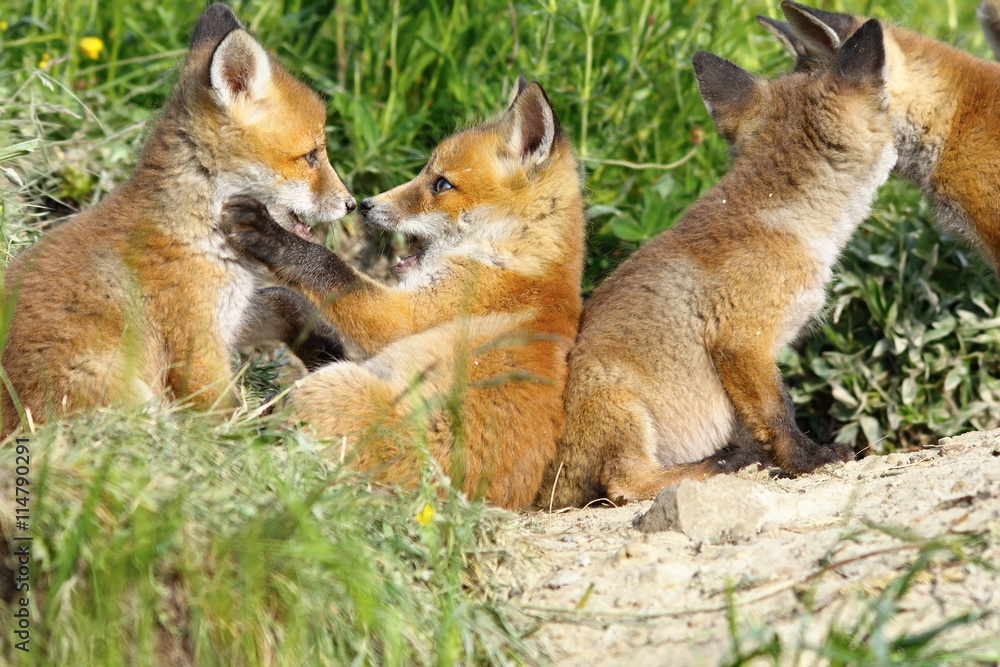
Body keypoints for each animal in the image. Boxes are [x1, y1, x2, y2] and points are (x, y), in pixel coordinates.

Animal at [0, 4, 355, 437]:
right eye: (310, 156)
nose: (352, 204)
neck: (194, 232)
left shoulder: (229, 316)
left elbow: (281, 299)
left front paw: (326, 348)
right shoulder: (195, 347)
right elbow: (231, 417)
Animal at [223, 77, 586, 509]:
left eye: (441, 183)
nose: (364, 204)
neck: (520, 262)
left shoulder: (407, 318)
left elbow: (329, 267)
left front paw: (271, 235)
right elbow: (299, 300)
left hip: (331, 387)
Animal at [538, 20, 895, 508]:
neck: (783, 219)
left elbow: (756, 421)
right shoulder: (742, 340)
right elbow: (778, 414)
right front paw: (808, 460)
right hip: (621, 407)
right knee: (625, 486)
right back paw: (721, 464)